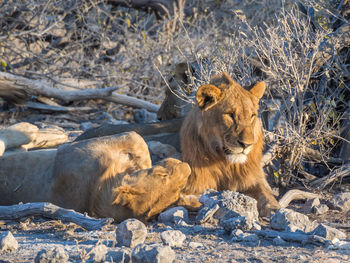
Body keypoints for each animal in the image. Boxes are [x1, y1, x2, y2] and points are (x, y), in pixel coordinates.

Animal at [179, 72, 280, 217]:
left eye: (252, 116)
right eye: (230, 115)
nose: (246, 144)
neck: (228, 164)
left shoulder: (254, 178)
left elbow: (267, 196)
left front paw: (276, 209)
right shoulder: (193, 185)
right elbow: (193, 197)